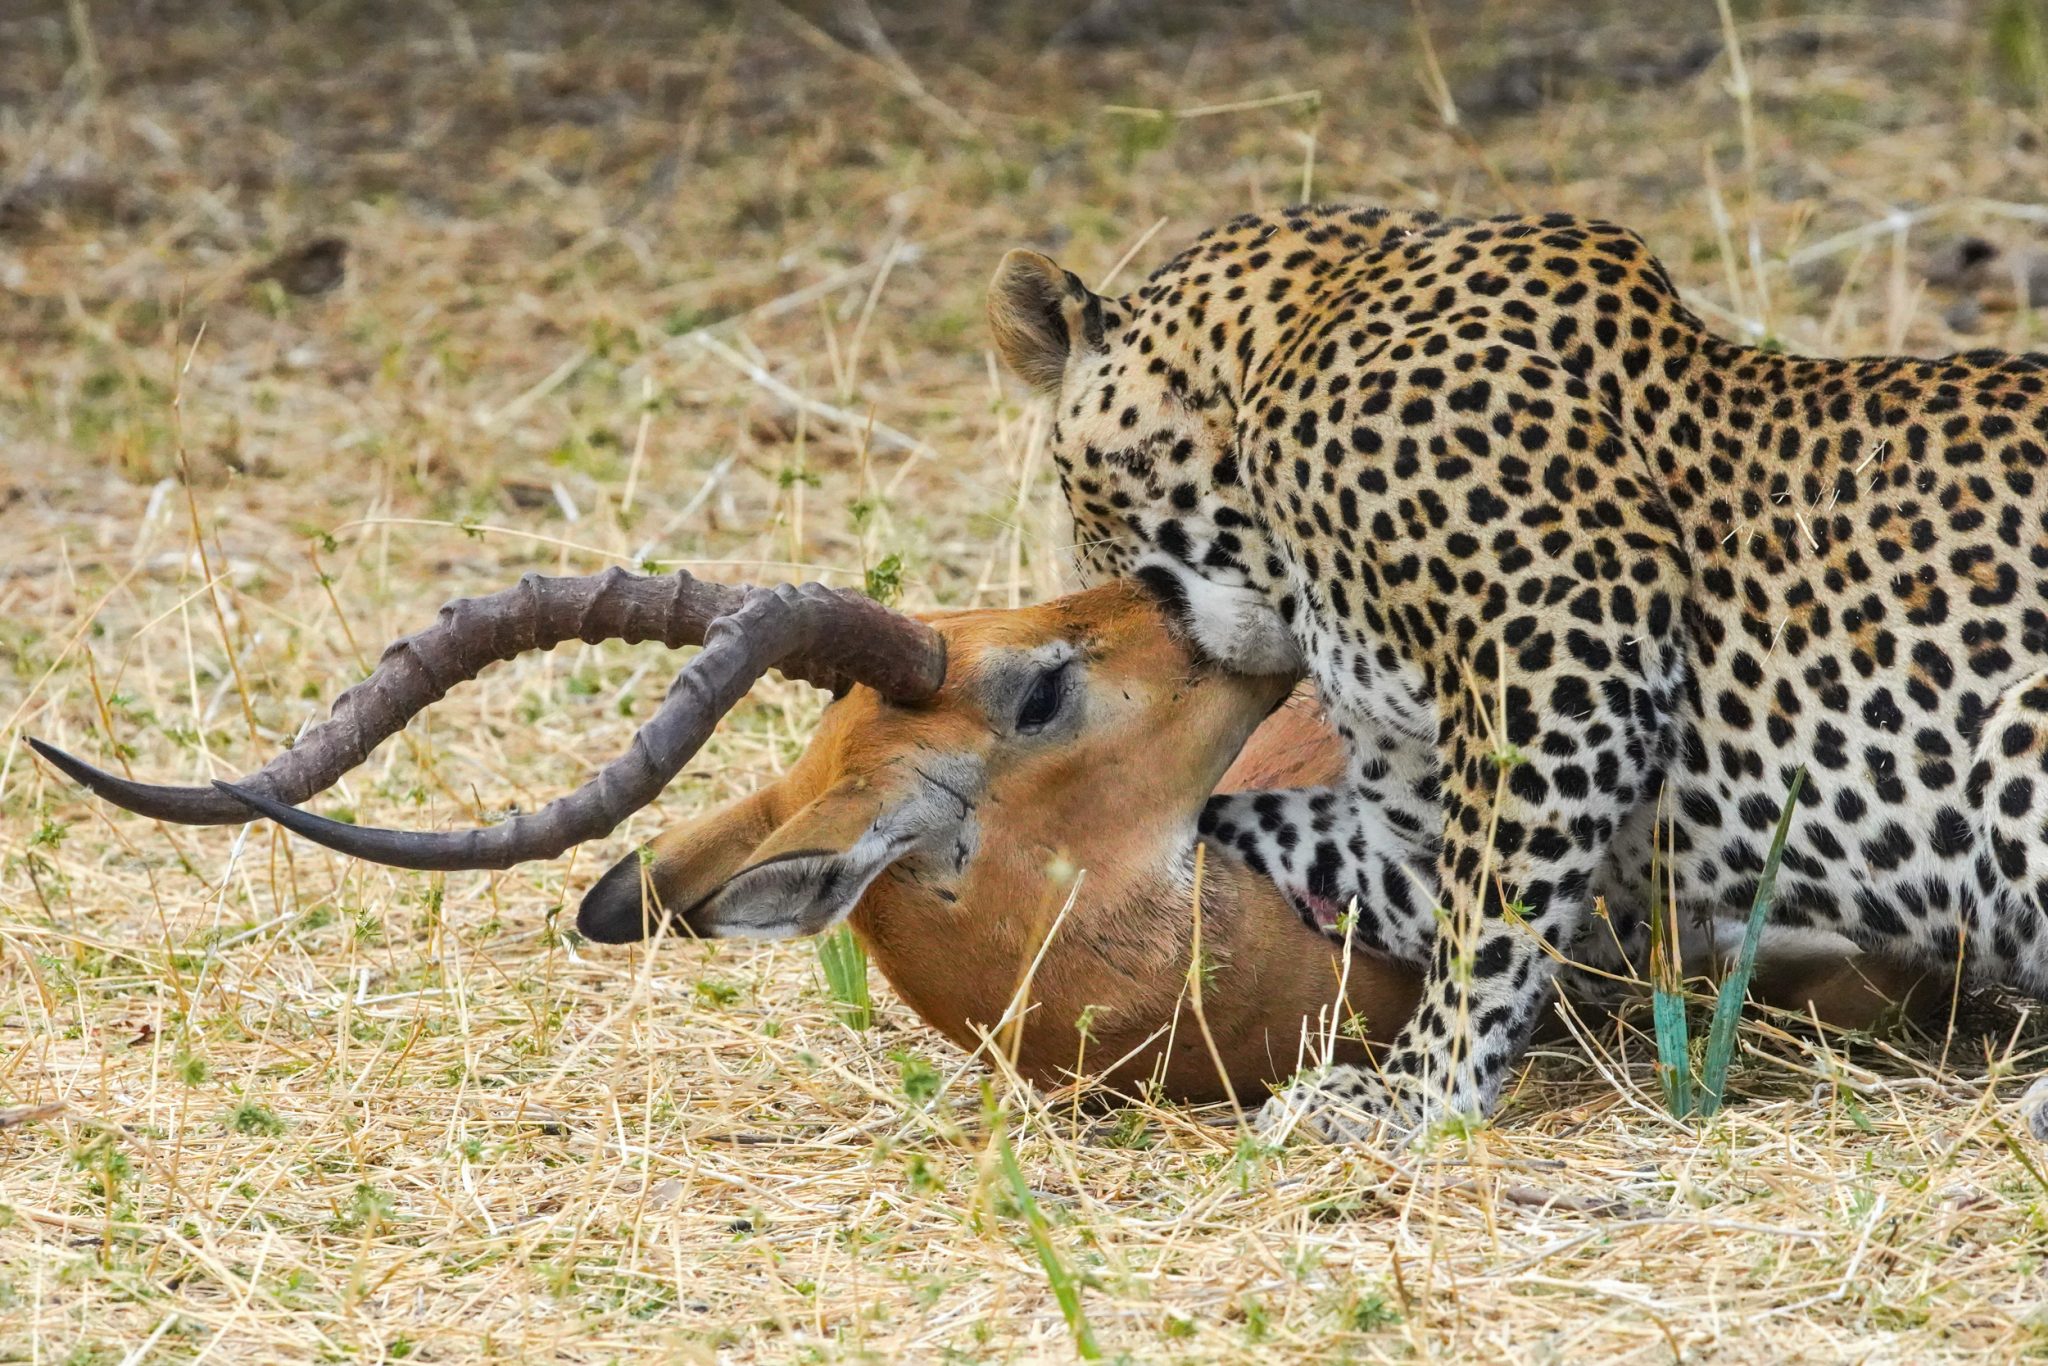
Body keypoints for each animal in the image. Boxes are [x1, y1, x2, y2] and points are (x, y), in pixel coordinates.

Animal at [985, 202, 2048, 1145]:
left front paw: (1413, 1094)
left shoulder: (1568, 636)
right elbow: (1303, 834)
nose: (1101, 602)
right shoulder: (1426, 811)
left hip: (2022, 728)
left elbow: (1486, 920)